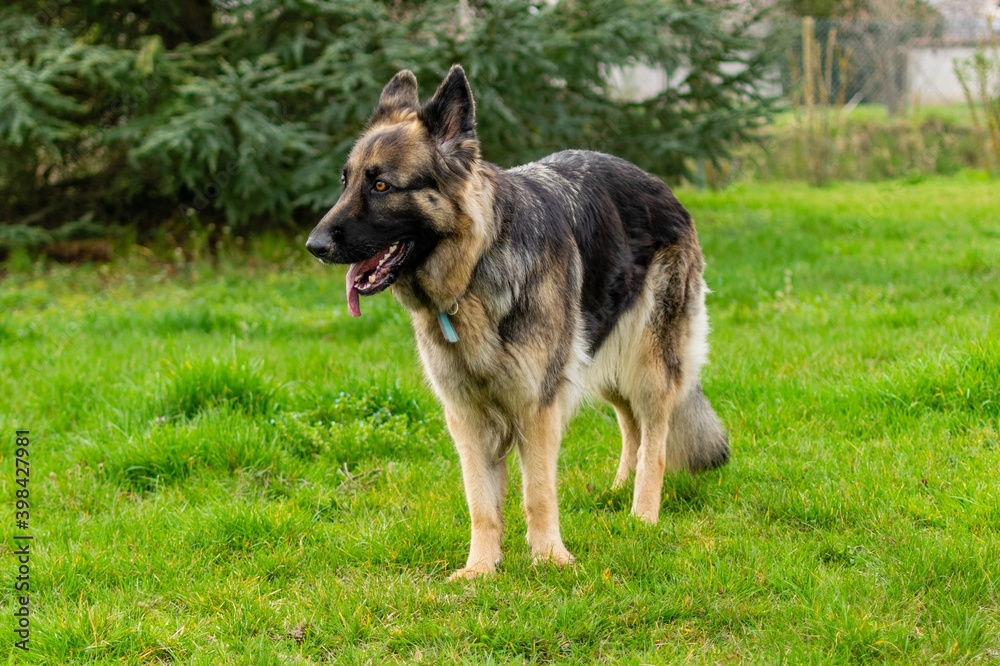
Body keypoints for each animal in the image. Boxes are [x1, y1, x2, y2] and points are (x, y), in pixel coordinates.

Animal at [304, 66, 728, 576]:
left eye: (381, 186)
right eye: (345, 181)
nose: (313, 245)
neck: (474, 272)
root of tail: (659, 184)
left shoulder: (536, 407)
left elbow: (538, 492)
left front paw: (549, 559)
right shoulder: (466, 418)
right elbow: (481, 503)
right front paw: (480, 569)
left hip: (646, 360)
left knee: (656, 439)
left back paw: (642, 514)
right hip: (598, 356)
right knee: (632, 424)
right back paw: (618, 491)